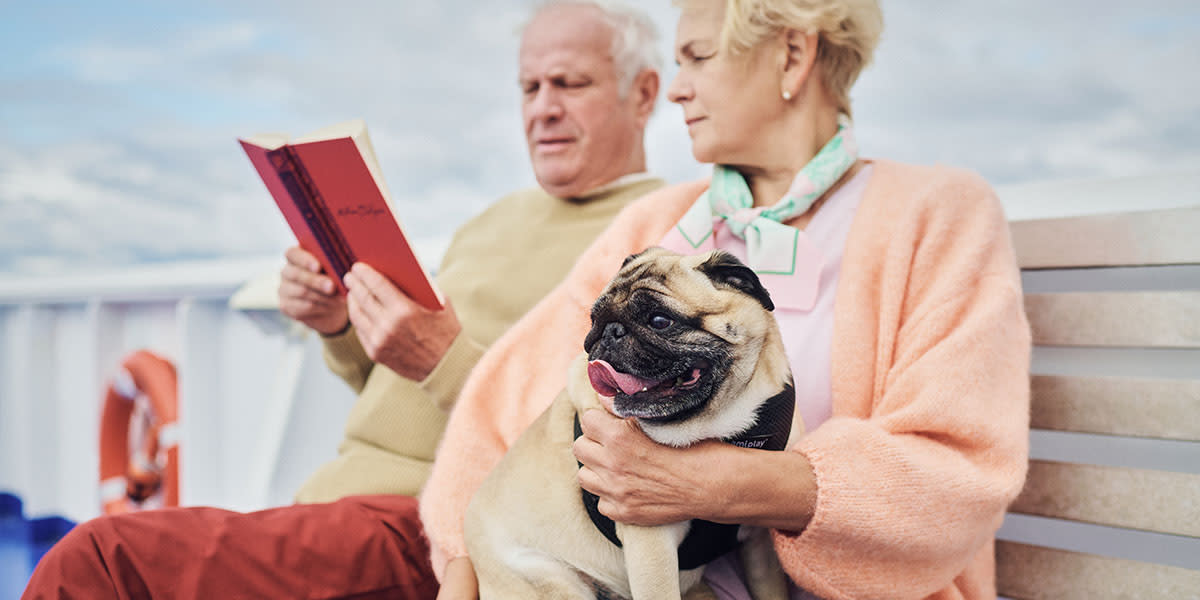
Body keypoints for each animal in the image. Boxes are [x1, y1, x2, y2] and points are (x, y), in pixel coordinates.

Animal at [463, 248, 801, 600]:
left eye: (660, 321)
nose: (609, 331)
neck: (721, 423)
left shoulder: (758, 545)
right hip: (552, 584)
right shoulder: (652, 551)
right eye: (594, 319)